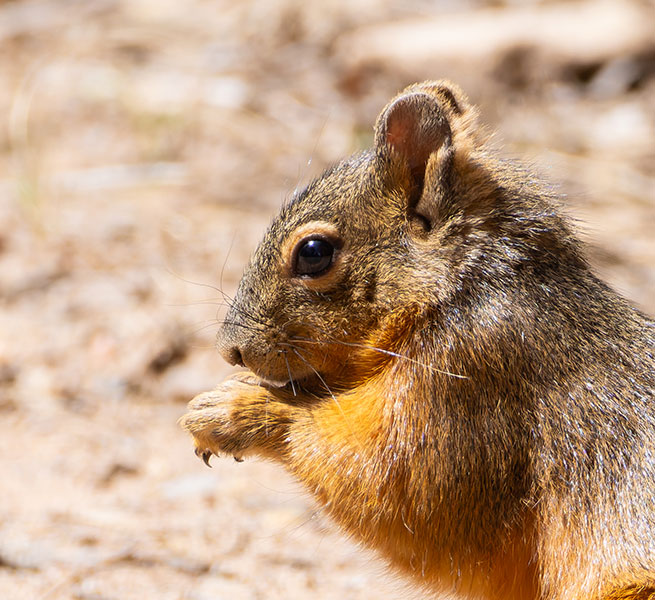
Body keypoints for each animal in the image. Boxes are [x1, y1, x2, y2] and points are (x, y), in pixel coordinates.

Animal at [180, 81, 655, 600]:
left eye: (313, 253)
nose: (231, 349)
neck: (458, 290)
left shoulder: (470, 375)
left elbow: (406, 495)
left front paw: (234, 410)